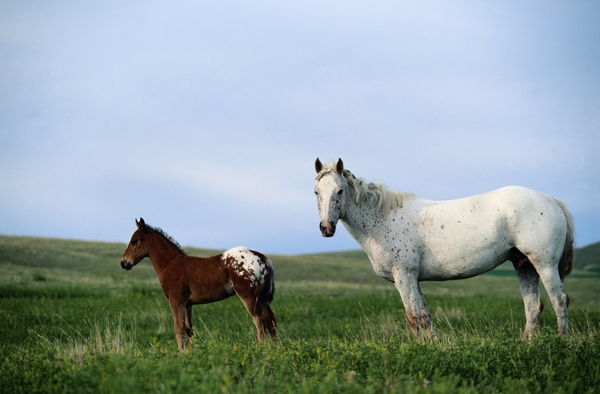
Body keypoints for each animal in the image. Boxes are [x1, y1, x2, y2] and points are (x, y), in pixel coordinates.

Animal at [314, 159, 572, 340]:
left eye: (340, 191)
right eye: (317, 192)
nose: (326, 227)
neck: (383, 219)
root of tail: (552, 200)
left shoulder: (404, 276)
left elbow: (413, 316)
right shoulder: (414, 279)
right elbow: (425, 317)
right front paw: (433, 346)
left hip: (544, 264)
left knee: (559, 300)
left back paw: (563, 341)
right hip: (524, 265)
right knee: (533, 307)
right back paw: (527, 344)